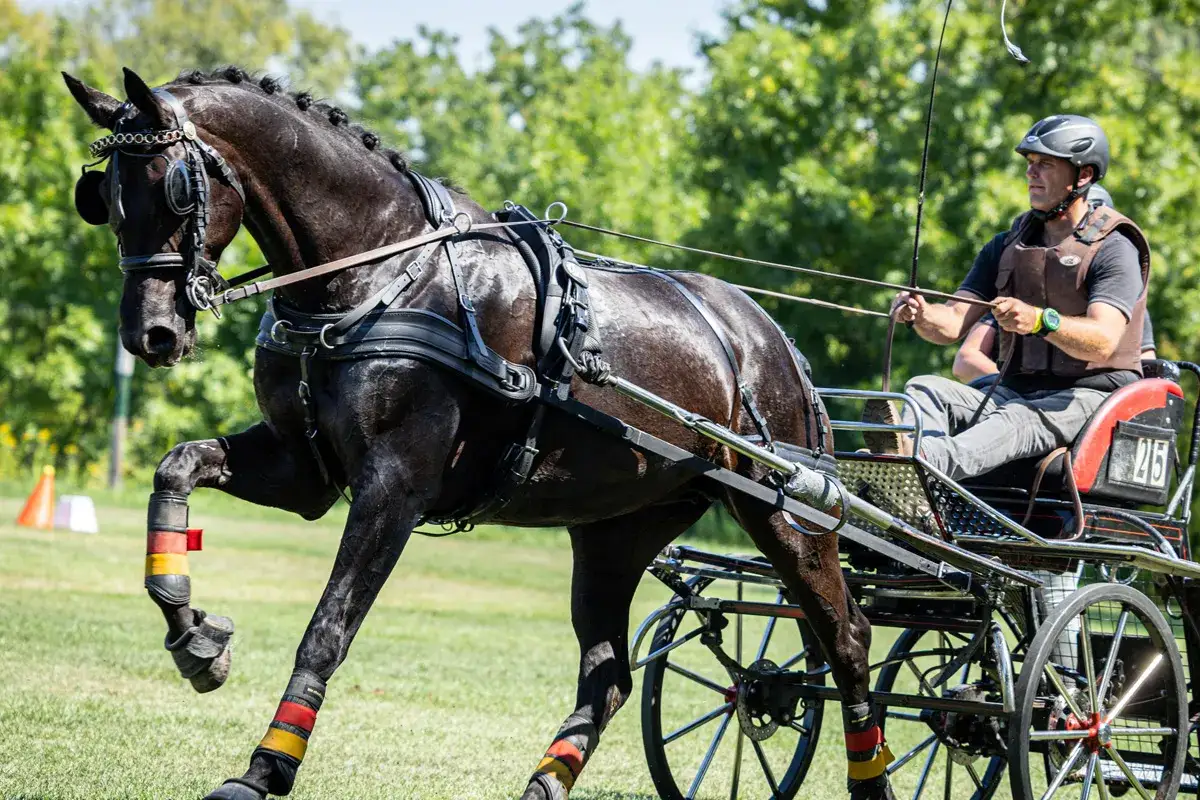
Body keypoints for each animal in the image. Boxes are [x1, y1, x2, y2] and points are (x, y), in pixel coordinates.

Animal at [64, 66, 890, 800]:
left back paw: (872, 774)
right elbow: (177, 467)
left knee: (849, 641)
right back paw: (544, 782)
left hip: (783, 515)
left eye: (173, 184)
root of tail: (771, 339)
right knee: (607, 675)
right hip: (617, 530)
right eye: (105, 198)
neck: (375, 275)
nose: (150, 334)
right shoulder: (303, 470)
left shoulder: (394, 486)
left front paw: (264, 769)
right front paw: (195, 636)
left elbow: (327, 629)